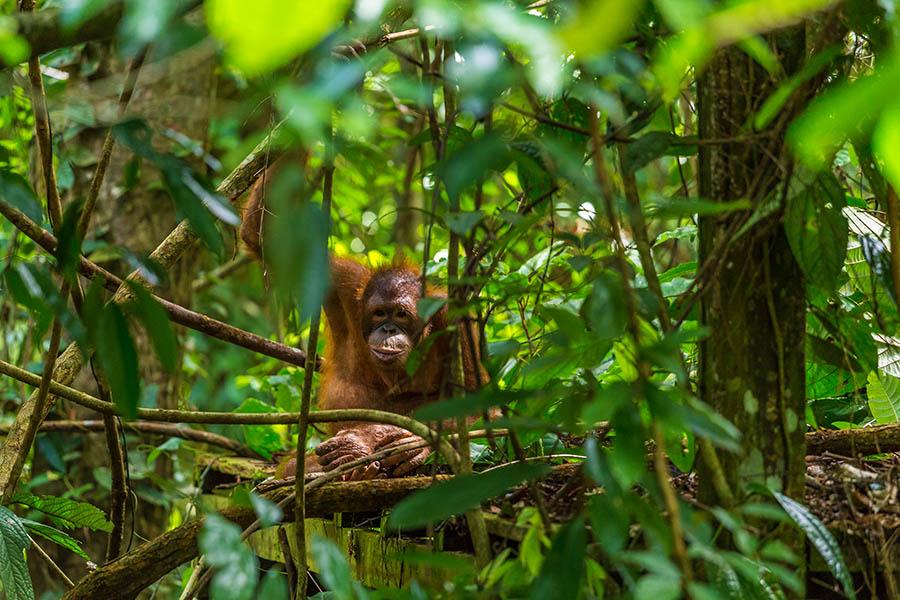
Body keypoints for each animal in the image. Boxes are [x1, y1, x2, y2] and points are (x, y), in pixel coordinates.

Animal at [240, 164, 487, 480]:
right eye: (380, 313)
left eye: (401, 314)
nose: (388, 328)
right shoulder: (341, 279)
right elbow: (267, 236)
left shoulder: (456, 318)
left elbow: (480, 405)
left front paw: (381, 441)